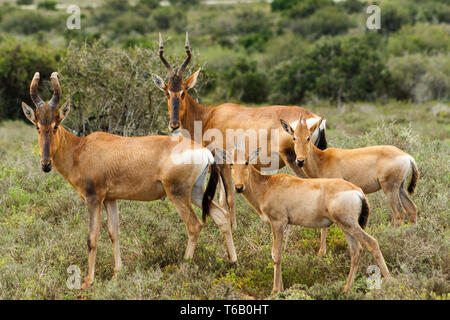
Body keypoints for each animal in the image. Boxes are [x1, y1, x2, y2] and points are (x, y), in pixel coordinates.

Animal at [21, 72, 237, 290]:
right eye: (37, 126)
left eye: (55, 125)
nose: (45, 164)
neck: (81, 149)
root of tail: (205, 151)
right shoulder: (110, 199)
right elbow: (114, 232)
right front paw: (117, 273)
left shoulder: (94, 198)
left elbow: (92, 237)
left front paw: (87, 282)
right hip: (196, 193)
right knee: (222, 217)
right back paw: (233, 262)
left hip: (178, 194)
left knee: (194, 225)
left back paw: (183, 269)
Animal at [152, 32, 326, 228]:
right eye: (167, 92)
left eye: (183, 92)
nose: (173, 124)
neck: (209, 116)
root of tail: (315, 119)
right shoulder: (223, 165)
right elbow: (222, 199)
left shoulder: (223, 162)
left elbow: (230, 197)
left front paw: (234, 226)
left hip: (295, 160)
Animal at [214, 145, 390, 292]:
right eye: (231, 164)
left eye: (246, 162)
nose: (238, 187)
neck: (267, 185)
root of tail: (358, 191)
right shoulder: (277, 225)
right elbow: (276, 254)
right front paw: (281, 289)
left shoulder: (278, 223)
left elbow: (277, 255)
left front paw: (275, 291)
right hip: (346, 226)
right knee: (356, 251)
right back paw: (346, 289)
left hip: (350, 224)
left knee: (372, 243)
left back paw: (389, 280)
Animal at [282, 116, 418, 256]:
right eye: (294, 137)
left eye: (308, 137)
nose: (300, 161)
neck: (323, 159)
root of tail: (408, 157)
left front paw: (321, 253)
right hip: (400, 188)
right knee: (412, 209)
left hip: (390, 189)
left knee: (399, 213)